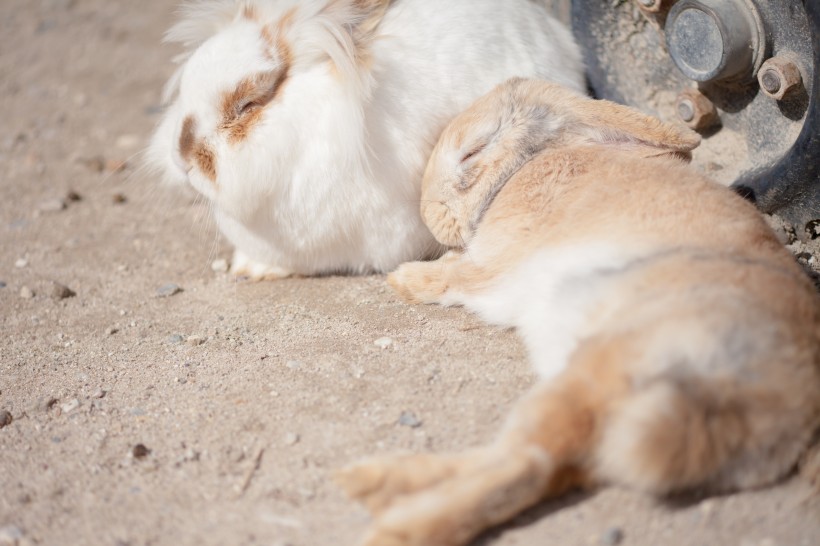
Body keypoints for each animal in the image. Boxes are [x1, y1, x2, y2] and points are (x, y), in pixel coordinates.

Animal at [334, 78, 820, 544]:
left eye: (472, 151)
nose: (426, 213)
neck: (531, 164)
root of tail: (780, 403)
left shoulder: (496, 262)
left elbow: (455, 276)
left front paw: (403, 278)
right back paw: (367, 483)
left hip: (603, 371)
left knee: (528, 464)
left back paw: (393, 523)